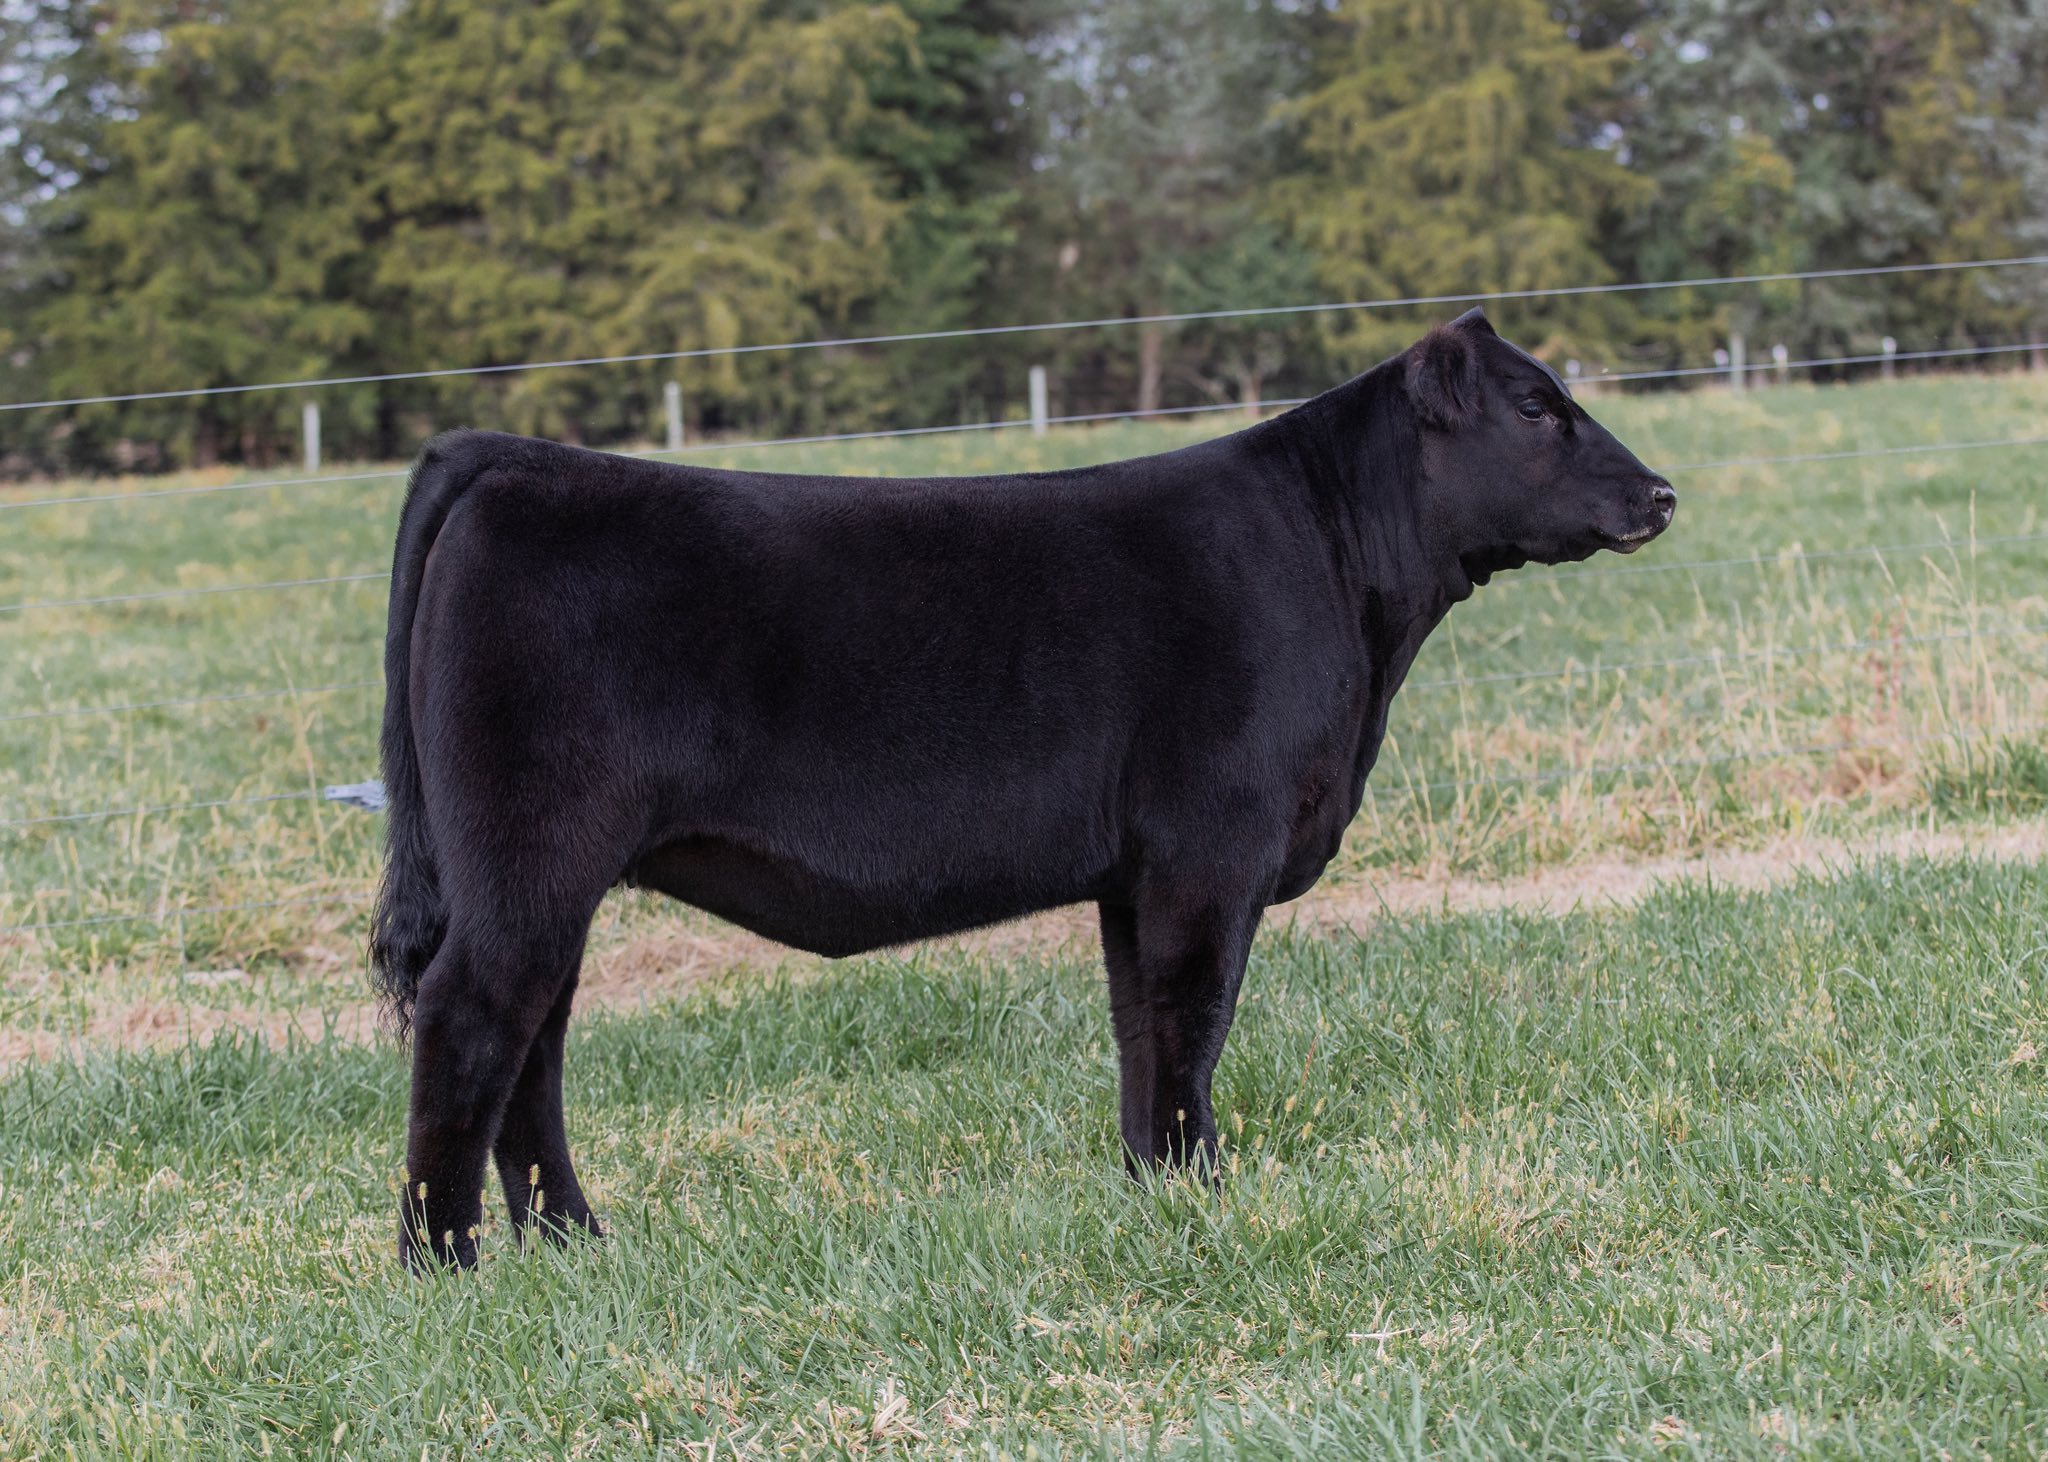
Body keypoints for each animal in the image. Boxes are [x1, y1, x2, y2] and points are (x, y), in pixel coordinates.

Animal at [371, 308, 1674, 1270]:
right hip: (530, 854)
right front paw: (1208, 1187)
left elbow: (1140, 1026)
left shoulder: (1135, 872)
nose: (1659, 493)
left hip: (545, 874)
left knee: (534, 1042)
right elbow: (1194, 1017)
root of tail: (507, 456)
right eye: (1533, 407)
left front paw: (1156, 1186)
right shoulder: (1211, 845)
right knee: (474, 1018)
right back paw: (447, 1263)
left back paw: (574, 1240)